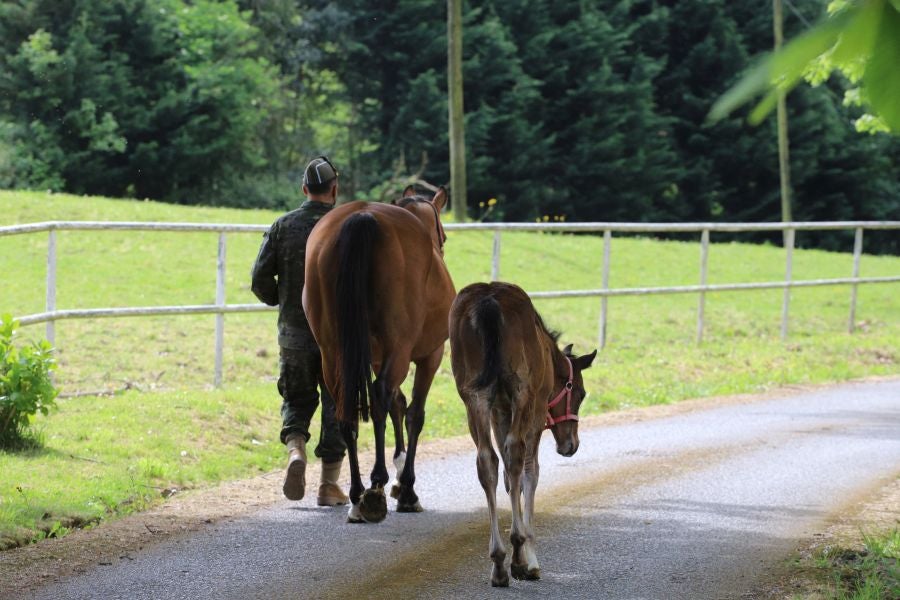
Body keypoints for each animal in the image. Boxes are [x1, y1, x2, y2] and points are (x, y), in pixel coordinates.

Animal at [304, 186, 458, 520]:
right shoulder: (430, 355)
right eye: (443, 236)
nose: (442, 247)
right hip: (399, 349)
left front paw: (399, 475)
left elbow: (397, 405)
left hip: (333, 351)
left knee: (346, 408)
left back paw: (356, 493)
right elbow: (413, 413)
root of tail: (363, 216)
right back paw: (375, 486)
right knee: (380, 396)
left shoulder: (375, 358)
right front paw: (407, 487)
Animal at [450, 282, 596, 584]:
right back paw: (515, 554)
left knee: (487, 461)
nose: (571, 444)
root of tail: (489, 302)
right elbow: (530, 471)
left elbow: (507, 477)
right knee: (516, 455)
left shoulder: (499, 412)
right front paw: (530, 557)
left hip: (474, 396)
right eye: (580, 393)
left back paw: (498, 562)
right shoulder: (536, 411)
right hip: (522, 393)